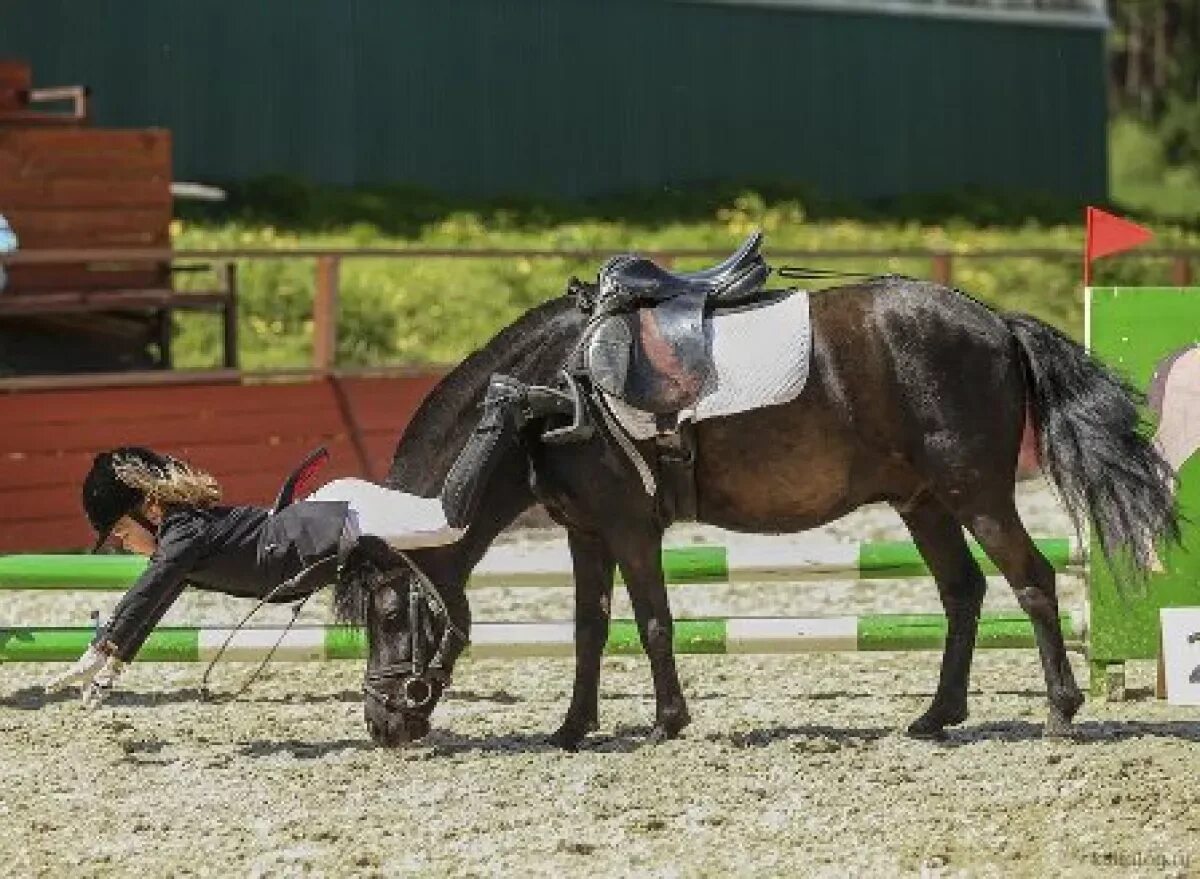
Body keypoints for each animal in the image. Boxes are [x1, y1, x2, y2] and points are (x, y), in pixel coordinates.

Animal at [333, 271, 1176, 744]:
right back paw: (937, 716)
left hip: (977, 494)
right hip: (924, 502)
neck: (552, 390)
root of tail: (997, 321)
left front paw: (667, 723)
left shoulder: (632, 529)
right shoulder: (586, 534)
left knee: (1031, 580)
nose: (381, 722)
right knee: (963, 591)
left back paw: (1060, 711)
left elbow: (653, 622)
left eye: (387, 613)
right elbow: (589, 630)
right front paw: (572, 727)